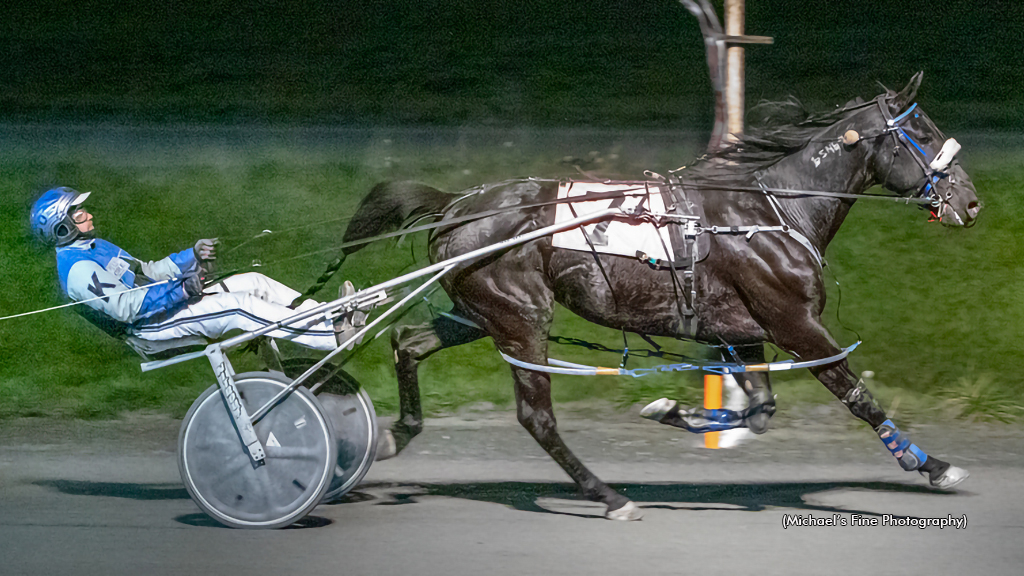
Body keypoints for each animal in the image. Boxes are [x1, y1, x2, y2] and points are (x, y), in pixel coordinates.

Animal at [346, 72, 983, 520]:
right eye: (922, 133)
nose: (971, 202)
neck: (769, 213)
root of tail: (457, 204)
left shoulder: (740, 331)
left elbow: (759, 410)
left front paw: (676, 411)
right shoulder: (795, 324)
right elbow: (858, 397)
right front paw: (932, 465)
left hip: (478, 311)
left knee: (408, 341)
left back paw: (396, 435)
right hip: (521, 317)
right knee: (536, 416)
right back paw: (609, 496)